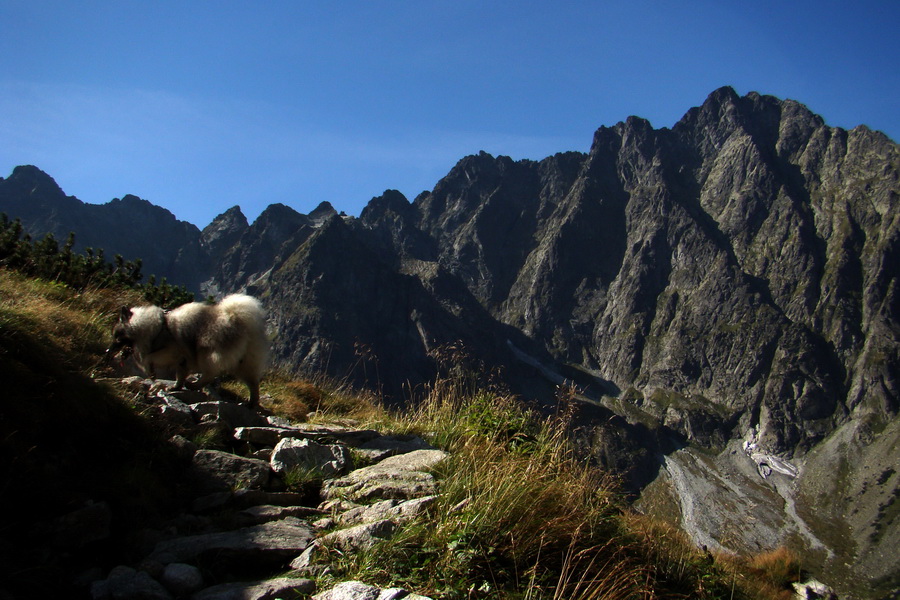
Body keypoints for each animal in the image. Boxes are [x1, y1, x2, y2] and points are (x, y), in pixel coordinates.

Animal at [108, 292, 268, 406]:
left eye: (117, 336)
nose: (107, 351)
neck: (156, 328)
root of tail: (238, 320)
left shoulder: (173, 352)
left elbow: (150, 359)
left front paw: (152, 373)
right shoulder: (182, 361)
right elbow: (180, 374)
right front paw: (176, 387)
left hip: (206, 352)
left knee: (211, 373)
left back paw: (194, 385)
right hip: (244, 362)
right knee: (253, 383)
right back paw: (251, 402)